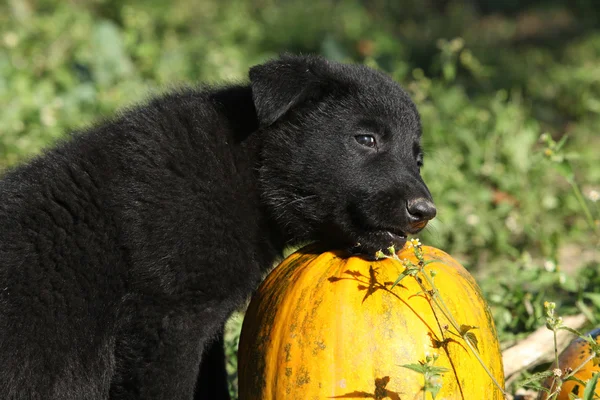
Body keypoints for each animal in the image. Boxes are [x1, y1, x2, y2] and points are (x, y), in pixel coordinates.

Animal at [0, 54, 434, 398]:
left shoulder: (203, 320)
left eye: (418, 159)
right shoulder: (170, 320)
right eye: (366, 138)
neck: (250, 172)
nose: (426, 211)